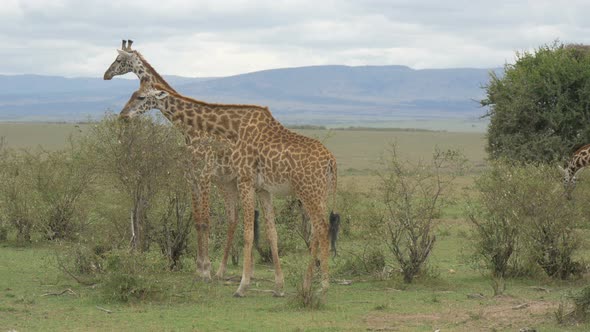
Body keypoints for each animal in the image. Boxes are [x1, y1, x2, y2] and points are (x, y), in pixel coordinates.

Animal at [102, 40, 254, 282]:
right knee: (236, 217)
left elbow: (205, 221)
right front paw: (201, 268)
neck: (189, 129)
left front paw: (205, 270)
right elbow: (198, 220)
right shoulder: (191, 176)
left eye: (118, 59)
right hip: (228, 182)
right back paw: (232, 271)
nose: (106, 75)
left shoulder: (204, 175)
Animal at [120, 83, 340, 298]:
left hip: (309, 193)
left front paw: (242, 286)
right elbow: (272, 233)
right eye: (132, 93)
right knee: (318, 230)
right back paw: (308, 285)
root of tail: (331, 161)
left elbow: (248, 233)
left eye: (141, 97)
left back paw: (322, 286)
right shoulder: (262, 189)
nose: (123, 115)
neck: (233, 128)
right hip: (319, 195)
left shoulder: (244, 180)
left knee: (321, 228)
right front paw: (278, 287)